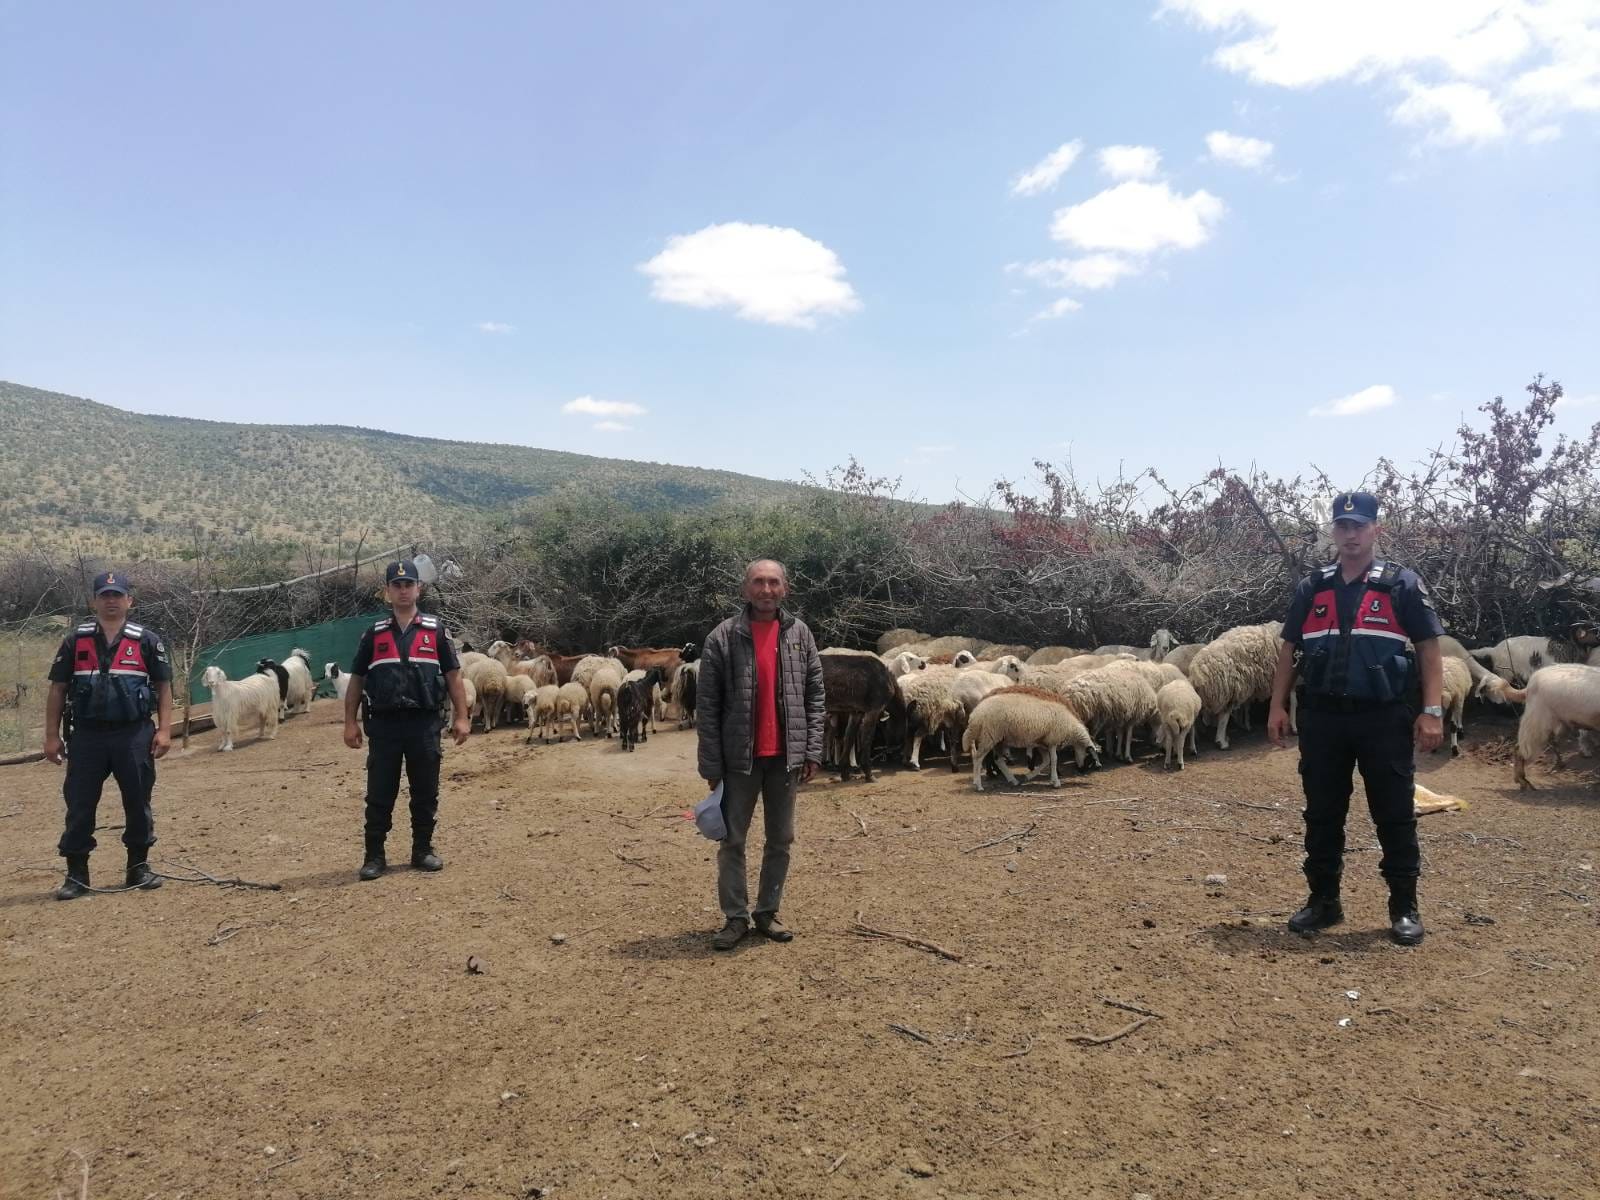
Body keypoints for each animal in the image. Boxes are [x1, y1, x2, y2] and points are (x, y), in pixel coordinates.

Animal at [960, 691, 1100, 793]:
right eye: (1089, 756)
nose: (1082, 771)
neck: (1071, 728)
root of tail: (975, 714)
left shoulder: (1042, 743)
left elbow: (1047, 761)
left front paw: (1030, 776)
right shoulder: (1053, 740)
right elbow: (1054, 759)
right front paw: (1056, 782)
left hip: (999, 739)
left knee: (998, 760)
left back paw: (1013, 780)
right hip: (989, 735)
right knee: (978, 758)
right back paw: (978, 785)